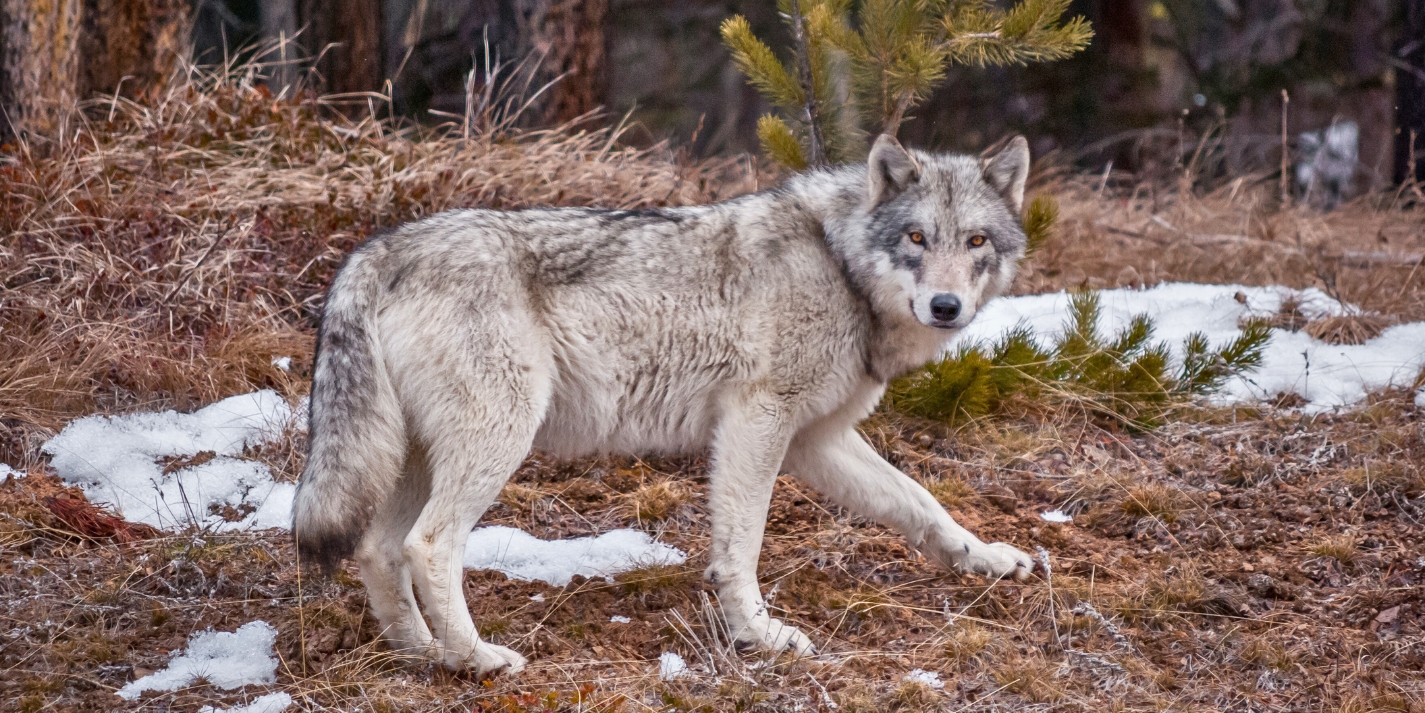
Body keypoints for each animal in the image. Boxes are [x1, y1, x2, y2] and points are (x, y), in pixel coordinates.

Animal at [292, 134, 1037, 676]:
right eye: (915, 238)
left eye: (975, 241)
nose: (946, 306)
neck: (839, 264)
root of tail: (377, 249)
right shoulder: (757, 420)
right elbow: (741, 547)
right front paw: (759, 634)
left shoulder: (816, 440)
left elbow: (922, 503)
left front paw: (987, 559)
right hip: (496, 442)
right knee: (427, 545)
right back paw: (477, 658)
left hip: (418, 459)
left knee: (376, 548)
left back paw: (423, 653)